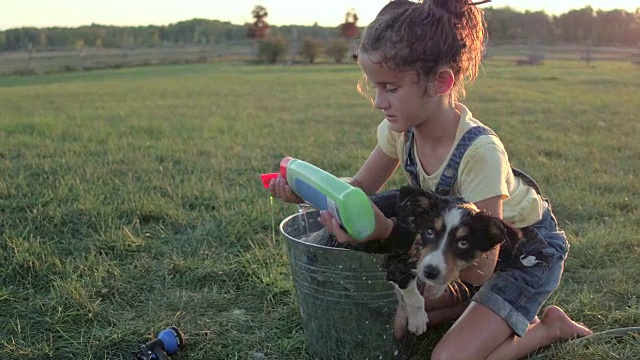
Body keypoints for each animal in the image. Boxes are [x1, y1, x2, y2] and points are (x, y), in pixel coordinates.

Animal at [304, 186, 520, 338]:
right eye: (429, 231)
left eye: (463, 243)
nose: (430, 272)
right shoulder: (397, 261)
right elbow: (413, 294)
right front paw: (418, 320)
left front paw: (435, 289)